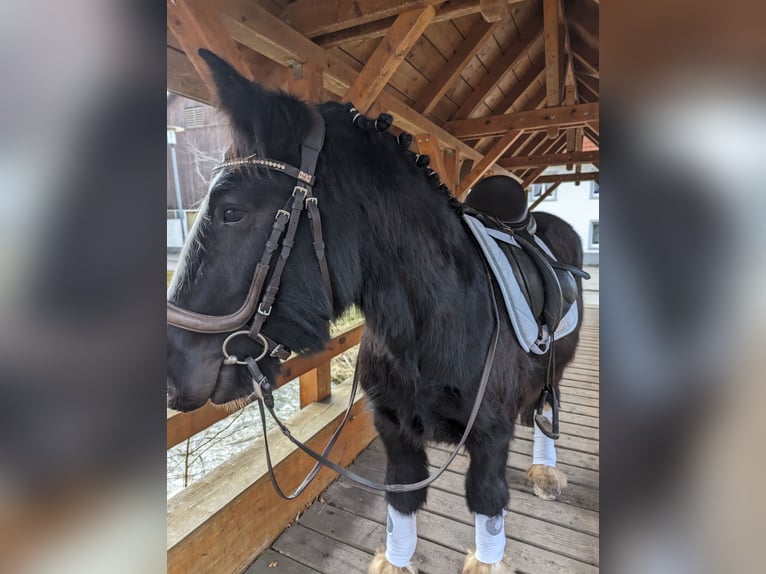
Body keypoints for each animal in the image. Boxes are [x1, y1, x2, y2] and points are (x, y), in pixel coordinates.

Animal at [168, 50, 584, 574]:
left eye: (231, 212)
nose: (172, 371)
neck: (433, 327)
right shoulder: (393, 428)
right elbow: (401, 501)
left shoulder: (491, 436)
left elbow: (487, 502)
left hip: (557, 367)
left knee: (548, 403)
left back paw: (545, 472)